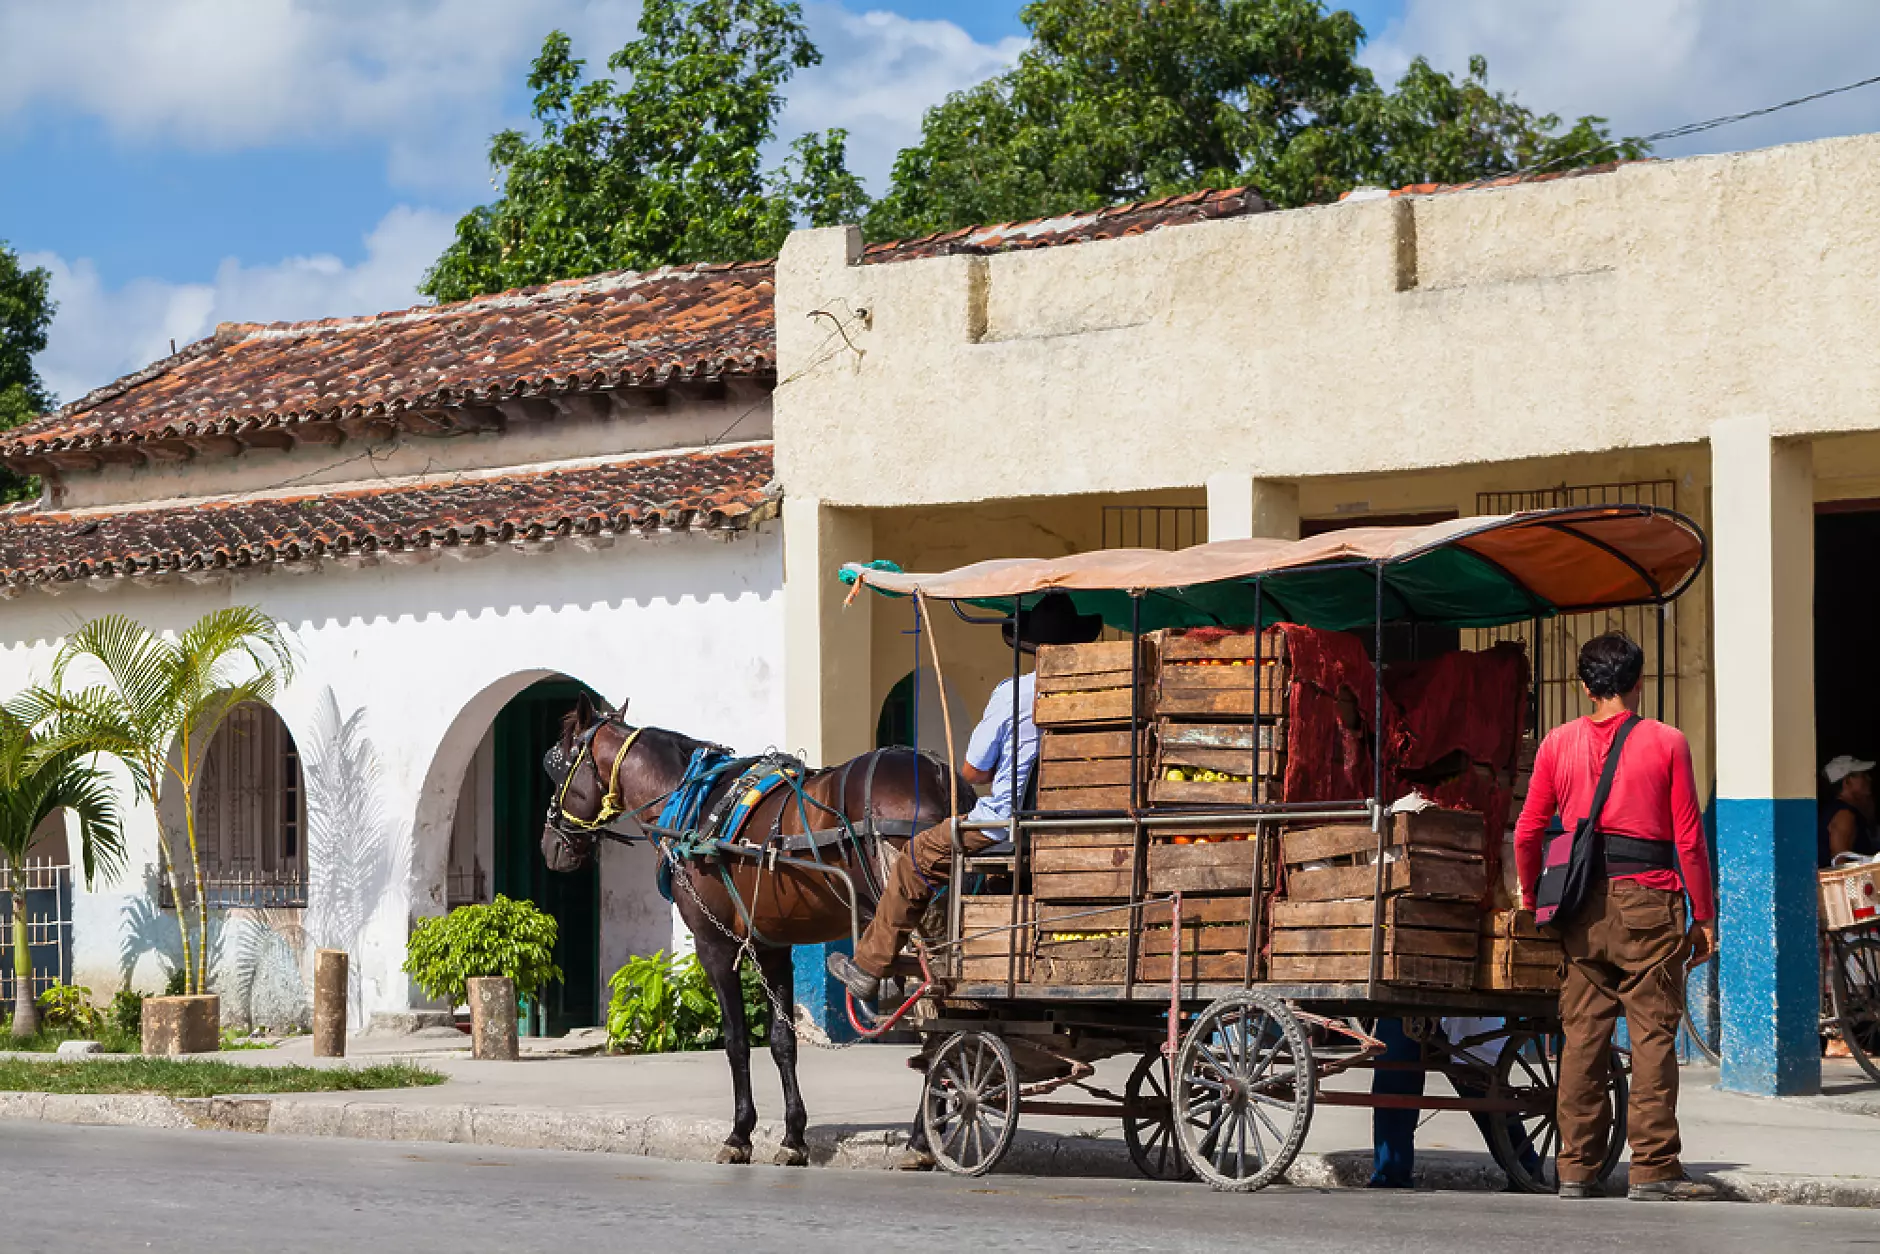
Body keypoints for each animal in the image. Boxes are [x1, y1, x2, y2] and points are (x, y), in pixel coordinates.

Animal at [537, 695, 962, 1165]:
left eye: (555, 768)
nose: (550, 845)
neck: (694, 804)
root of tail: (938, 776)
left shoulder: (714, 944)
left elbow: (736, 1040)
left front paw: (739, 1134)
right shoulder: (770, 945)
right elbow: (781, 1041)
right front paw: (793, 1137)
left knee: (938, 1024)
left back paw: (924, 1138)